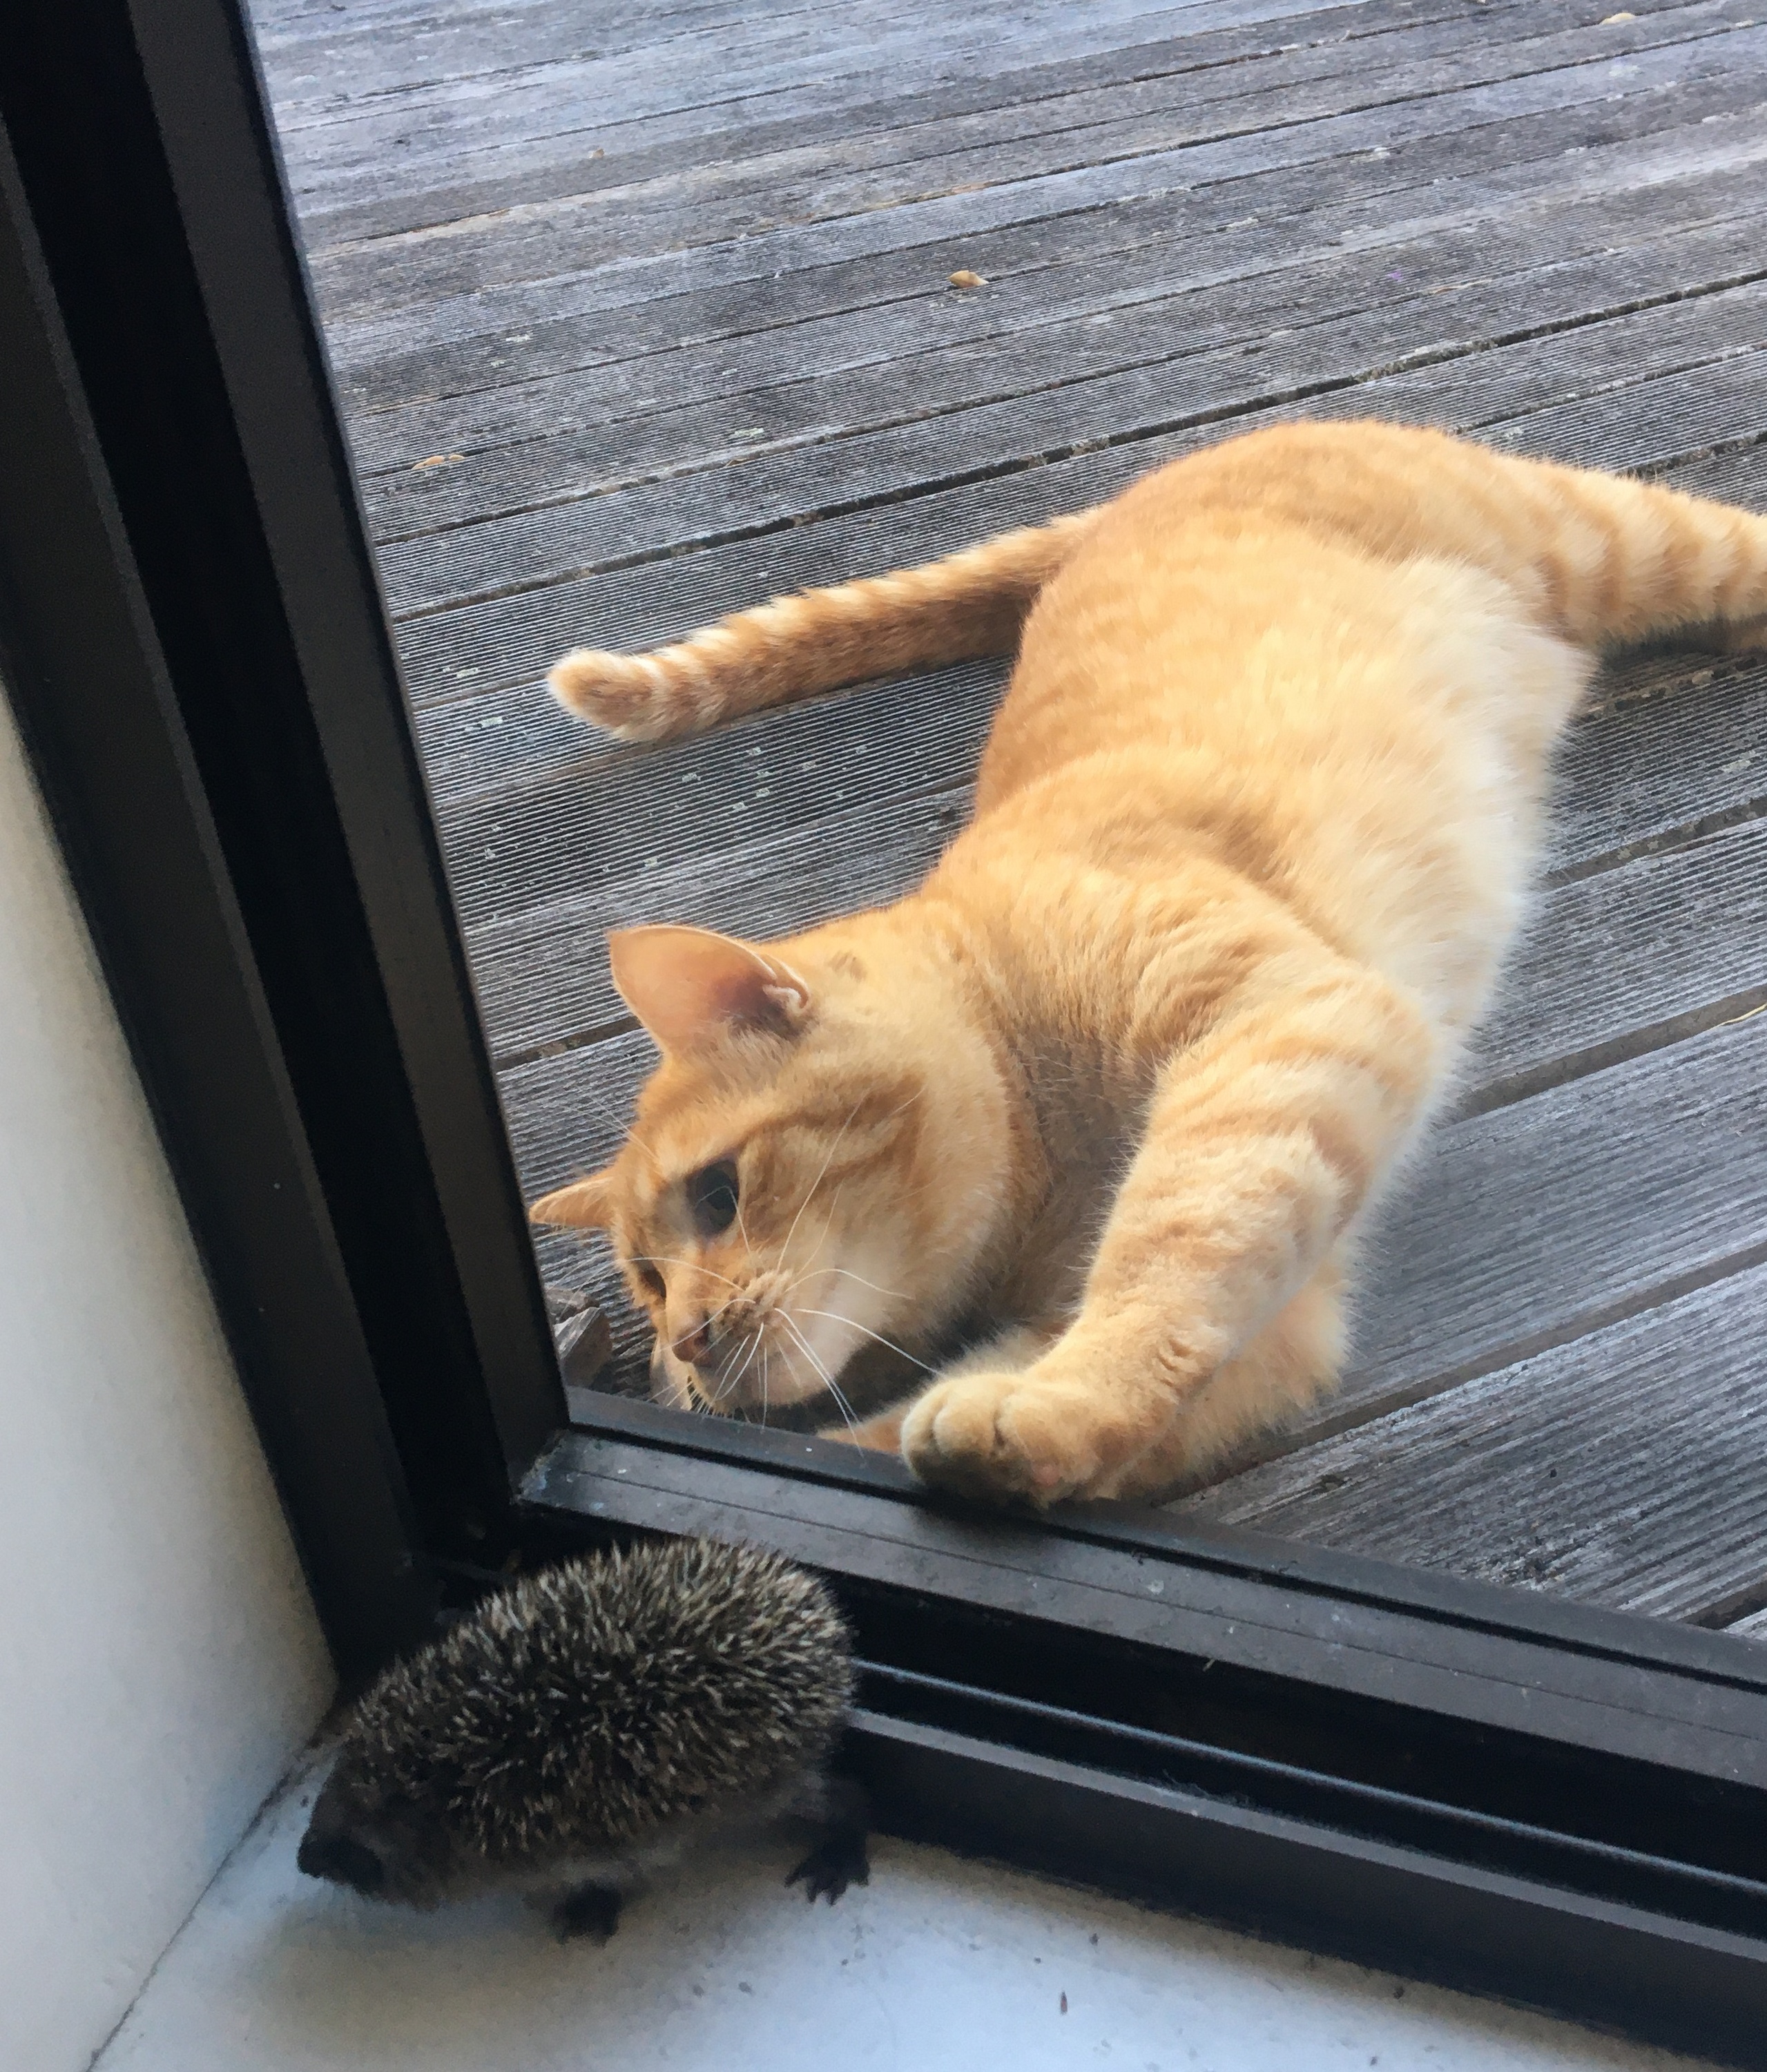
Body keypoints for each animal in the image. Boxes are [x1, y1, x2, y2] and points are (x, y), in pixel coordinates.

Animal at [528, 421, 1765, 1500]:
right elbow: (923, 1429)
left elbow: (1161, 1264)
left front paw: (1041, 1408)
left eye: (719, 1194)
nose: (687, 1342)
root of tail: (1137, 489)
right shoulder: (1284, 1324)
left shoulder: (1278, 1026)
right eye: (646, 1282)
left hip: (1621, 540)